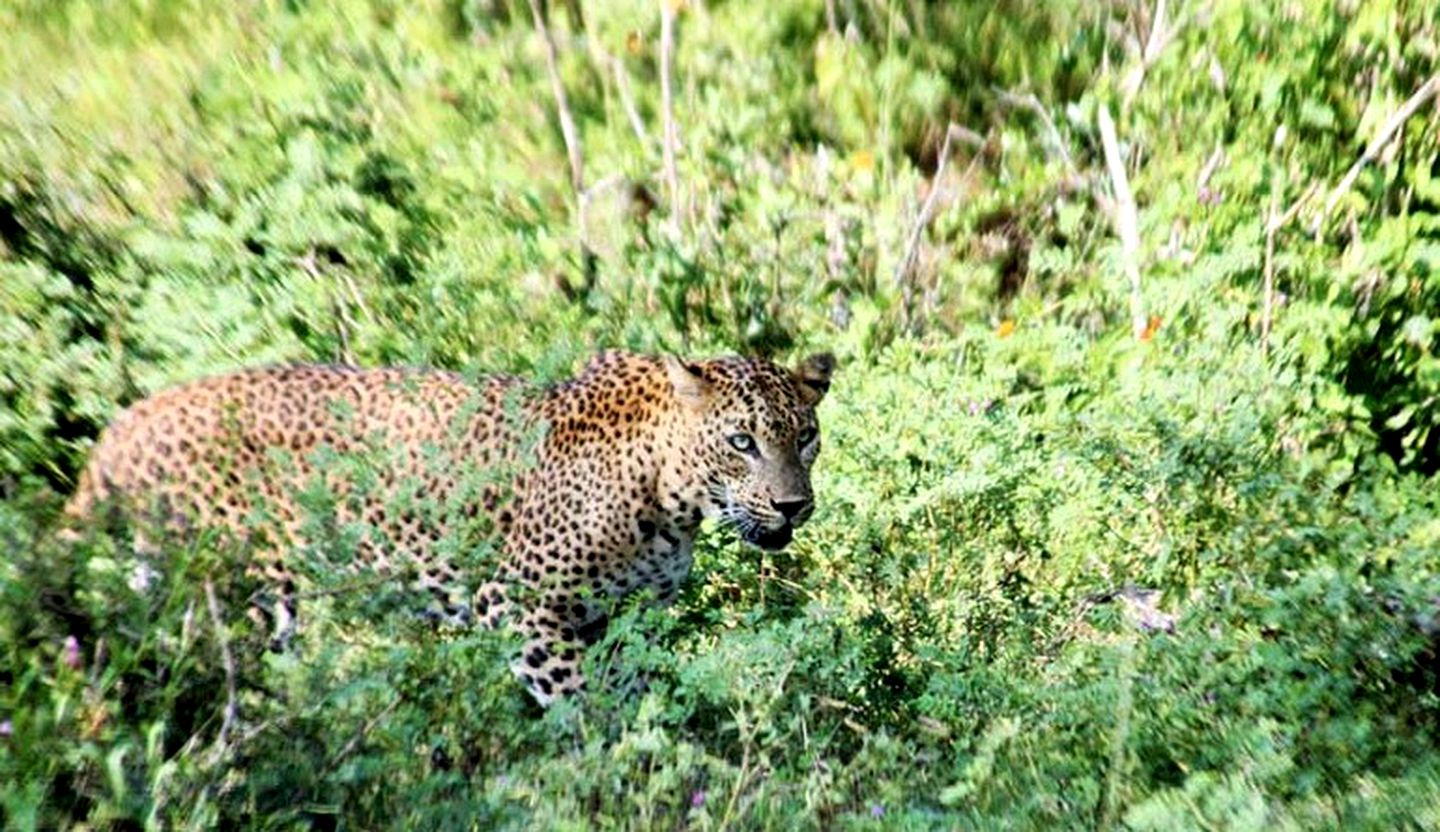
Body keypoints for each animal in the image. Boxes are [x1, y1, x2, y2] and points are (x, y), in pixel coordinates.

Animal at [64, 346, 835, 702]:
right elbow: (585, 704)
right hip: (242, 597)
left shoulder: (624, 618)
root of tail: (125, 424)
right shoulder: (519, 604)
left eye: (805, 437)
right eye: (741, 441)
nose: (794, 506)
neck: (672, 500)